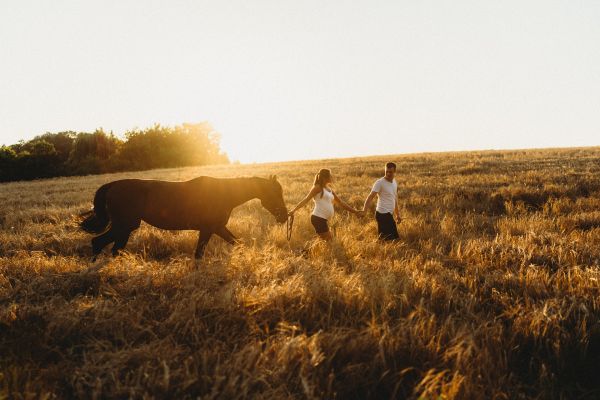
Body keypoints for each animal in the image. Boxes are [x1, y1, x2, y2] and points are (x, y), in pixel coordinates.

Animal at [79, 175, 288, 260]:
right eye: (276, 193)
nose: (285, 217)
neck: (223, 193)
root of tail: (112, 186)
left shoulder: (217, 228)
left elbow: (238, 243)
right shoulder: (209, 229)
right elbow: (199, 254)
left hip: (125, 228)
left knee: (114, 249)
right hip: (124, 226)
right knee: (98, 243)